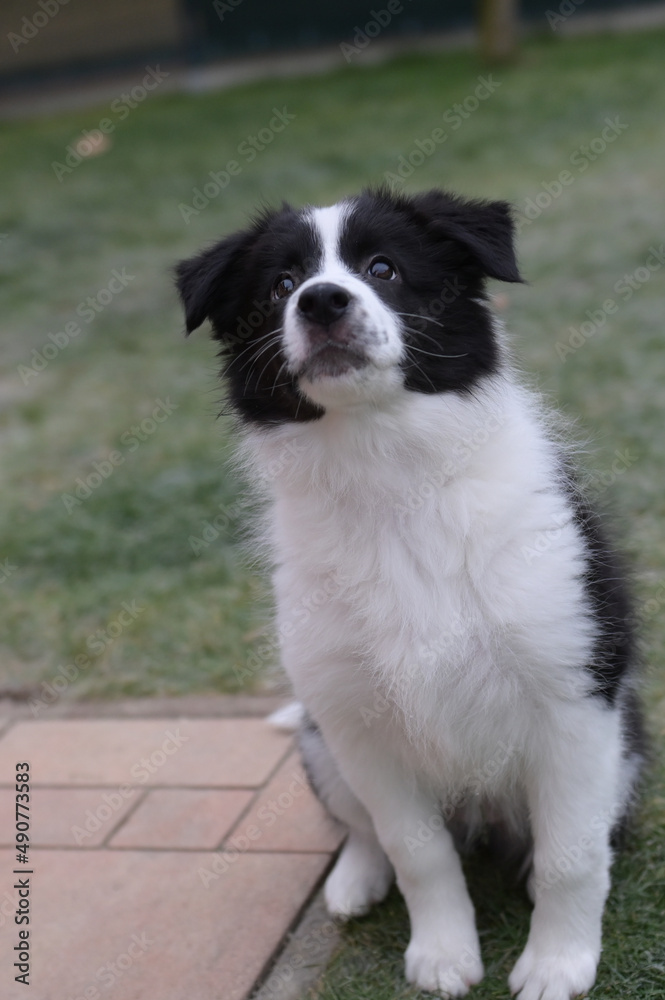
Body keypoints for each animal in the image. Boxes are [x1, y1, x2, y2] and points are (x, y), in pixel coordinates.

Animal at [176, 189, 644, 1000]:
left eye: (383, 268)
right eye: (280, 284)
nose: (321, 300)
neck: (390, 479)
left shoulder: (575, 700)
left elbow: (571, 854)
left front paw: (557, 964)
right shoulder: (356, 722)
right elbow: (414, 850)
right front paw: (443, 956)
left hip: (631, 741)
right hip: (317, 736)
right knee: (360, 827)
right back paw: (354, 881)